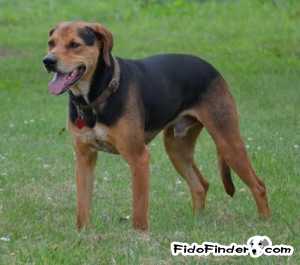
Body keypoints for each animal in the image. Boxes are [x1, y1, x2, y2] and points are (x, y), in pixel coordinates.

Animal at [43, 21, 270, 231]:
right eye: (51, 43)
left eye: (75, 44)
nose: (48, 61)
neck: (95, 98)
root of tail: (210, 67)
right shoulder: (84, 157)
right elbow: (83, 207)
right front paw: (83, 234)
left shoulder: (139, 158)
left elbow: (139, 210)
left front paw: (139, 238)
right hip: (176, 148)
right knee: (200, 185)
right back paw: (197, 222)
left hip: (227, 142)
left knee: (259, 185)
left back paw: (265, 223)